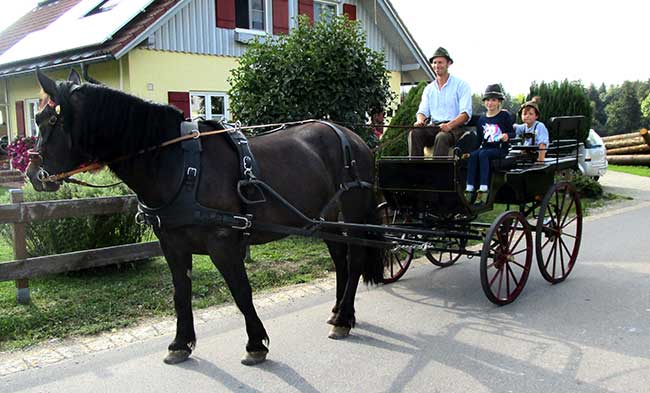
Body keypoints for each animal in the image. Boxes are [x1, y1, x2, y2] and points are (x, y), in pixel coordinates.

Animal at [27, 69, 382, 364]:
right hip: (325, 219)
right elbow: (180, 294)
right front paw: (180, 343)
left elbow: (241, 292)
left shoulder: (222, 244)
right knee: (340, 259)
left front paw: (256, 344)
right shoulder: (172, 245)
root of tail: (352, 137)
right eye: (37, 117)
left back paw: (344, 319)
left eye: (46, 120)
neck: (178, 165)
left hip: (352, 212)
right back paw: (338, 311)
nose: (32, 174)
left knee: (355, 259)